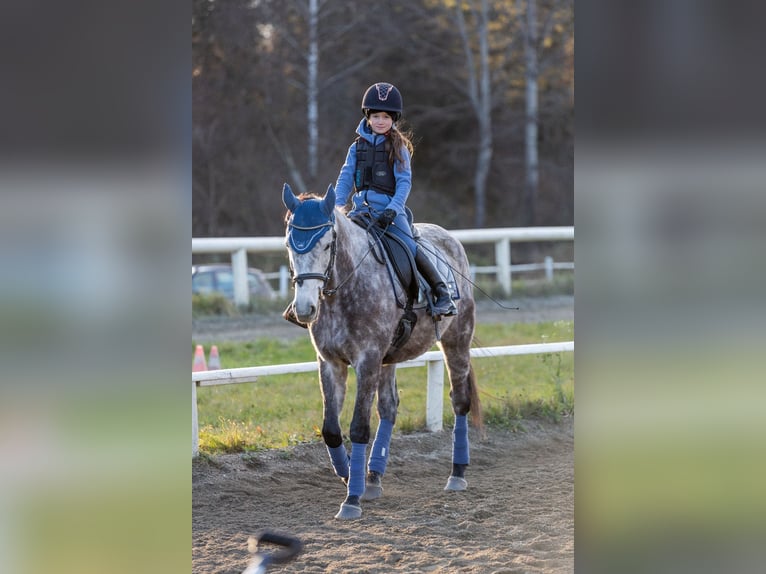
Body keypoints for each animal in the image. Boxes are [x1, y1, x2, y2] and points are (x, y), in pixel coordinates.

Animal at [284, 184, 484, 520]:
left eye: (326, 245)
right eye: (289, 245)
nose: (305, 308)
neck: (347, 287)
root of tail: (449, 238)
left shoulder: (367, 360)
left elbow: (358, 427)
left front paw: (352, 498)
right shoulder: (330, 363)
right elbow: (331, 430)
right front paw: (349, 476)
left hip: (457, 341)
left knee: (460, 401)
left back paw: (457, 473)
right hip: (389, 358)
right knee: (389, 407)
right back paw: (374, 477)